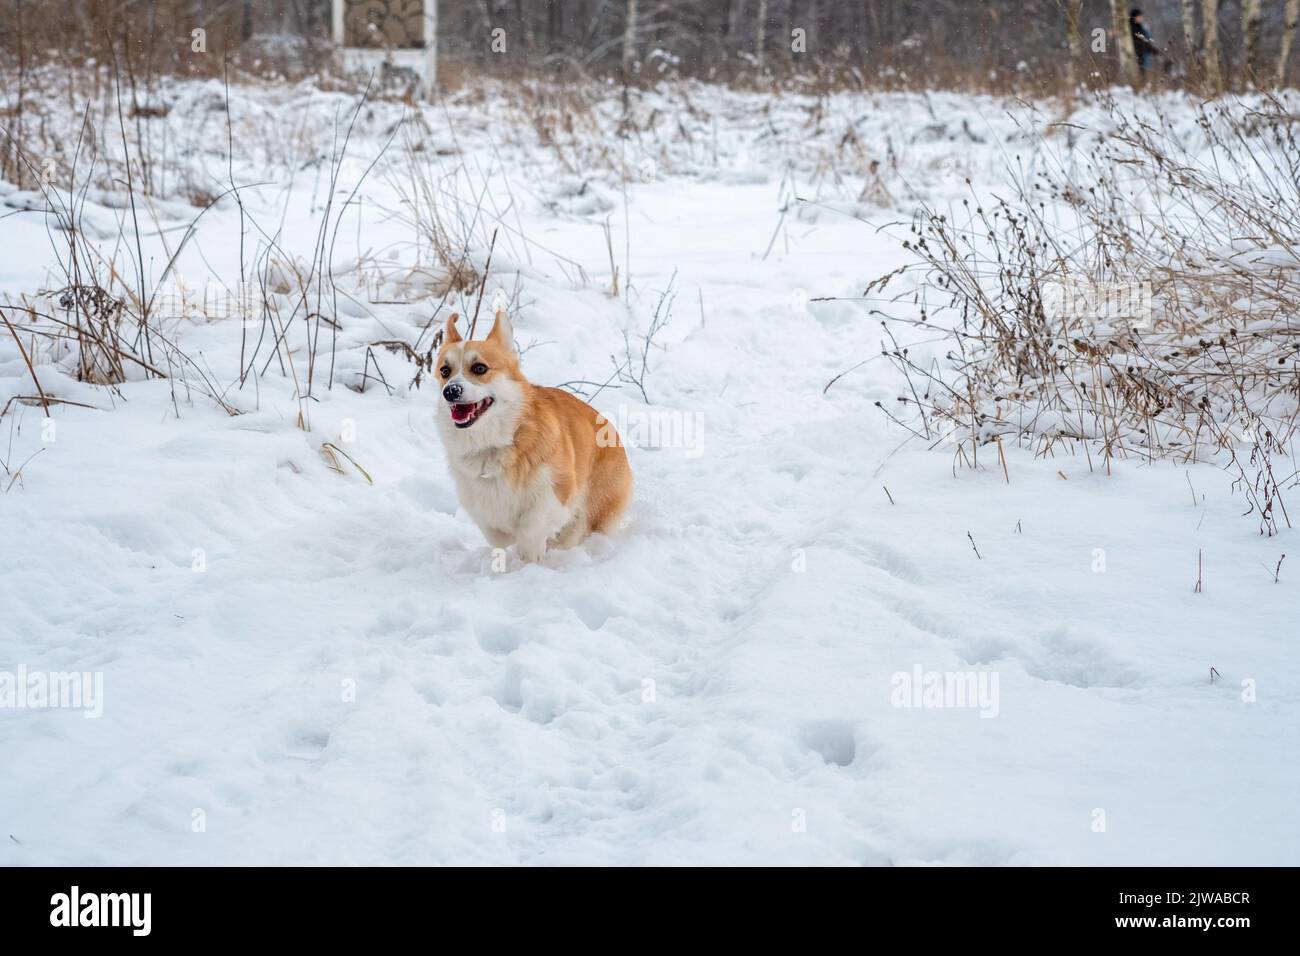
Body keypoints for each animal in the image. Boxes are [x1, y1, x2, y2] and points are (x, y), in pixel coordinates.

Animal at [434, 308, 631, 561]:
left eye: (479, 368)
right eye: (444, 371)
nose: (450, 391)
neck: (496, 441)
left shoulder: (556, 492)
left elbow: (531, 527)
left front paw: (531, 557)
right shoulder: (480, 502)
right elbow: (496, 534)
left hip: (597, 503)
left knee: (581, 528)